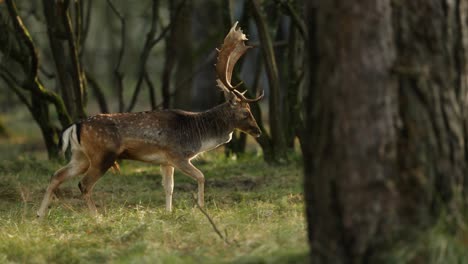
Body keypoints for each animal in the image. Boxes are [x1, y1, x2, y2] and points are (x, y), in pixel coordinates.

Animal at [36, 21, 264, 218]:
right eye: (246, 112)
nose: (258, 131)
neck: (198, 134)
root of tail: (76, 125)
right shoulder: (177, 154)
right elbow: (201, 176)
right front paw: (200, 208)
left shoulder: (165, 161)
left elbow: (169, 187)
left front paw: (169, 212)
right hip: (103, 154)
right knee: (83, 184)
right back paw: (96, 217)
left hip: (80, 156)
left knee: (57, 175)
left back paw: (40, 215)